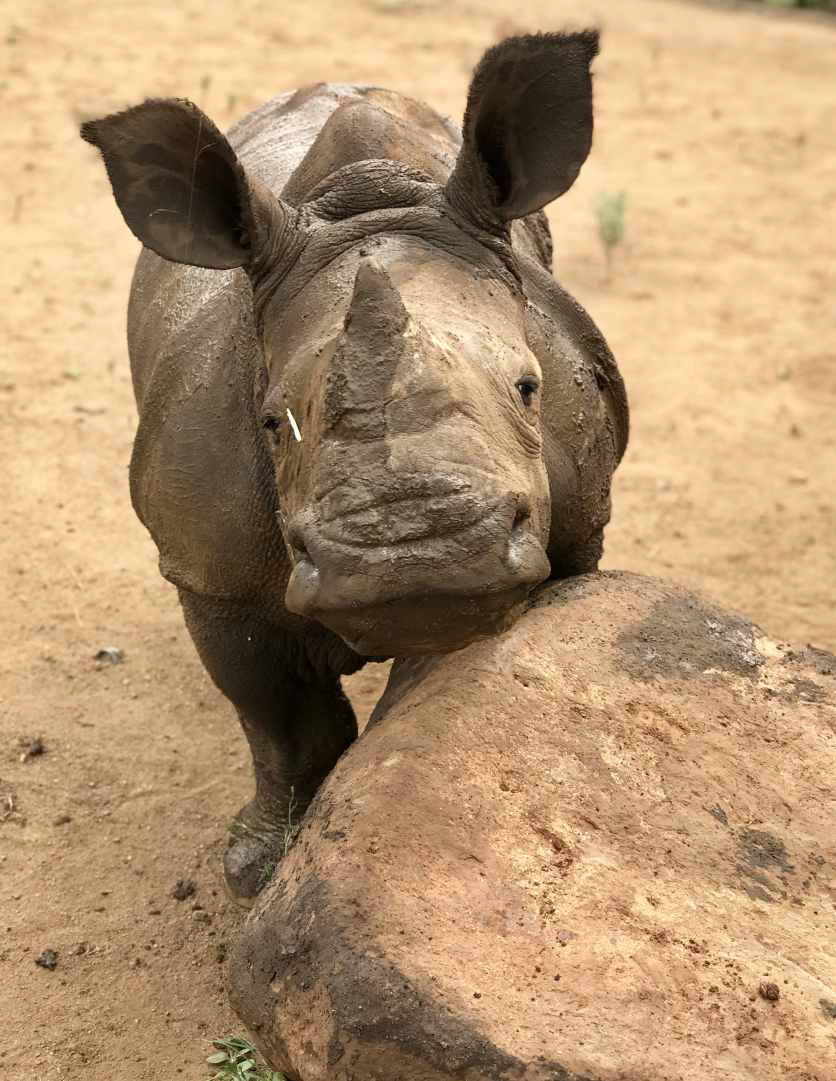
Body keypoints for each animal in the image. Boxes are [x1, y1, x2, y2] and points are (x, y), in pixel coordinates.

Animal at [81, 30, 628, 900]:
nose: (414, 553)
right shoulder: (212, 571)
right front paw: (257, 868)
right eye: (272, 423)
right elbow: (285, 723)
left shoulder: (578, 518)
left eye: (529, 387)